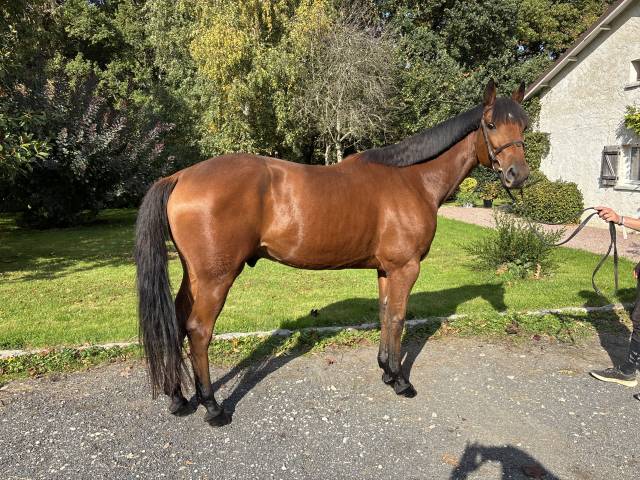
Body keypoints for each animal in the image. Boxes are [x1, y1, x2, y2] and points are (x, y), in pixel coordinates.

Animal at [134, 79, 530, 426]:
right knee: (199, 330)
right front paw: (401, 381)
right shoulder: (406, 268)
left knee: (175, 321)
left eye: (524, 125)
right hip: (216, 278)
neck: (413, 179)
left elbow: (384, 314)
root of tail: (180, 177)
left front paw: (386, 371)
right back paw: (213, 407)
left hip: (194, 275)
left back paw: (178, 398)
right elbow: (398, 317)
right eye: (491, 124)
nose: (519, 175)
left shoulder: (386, 270)